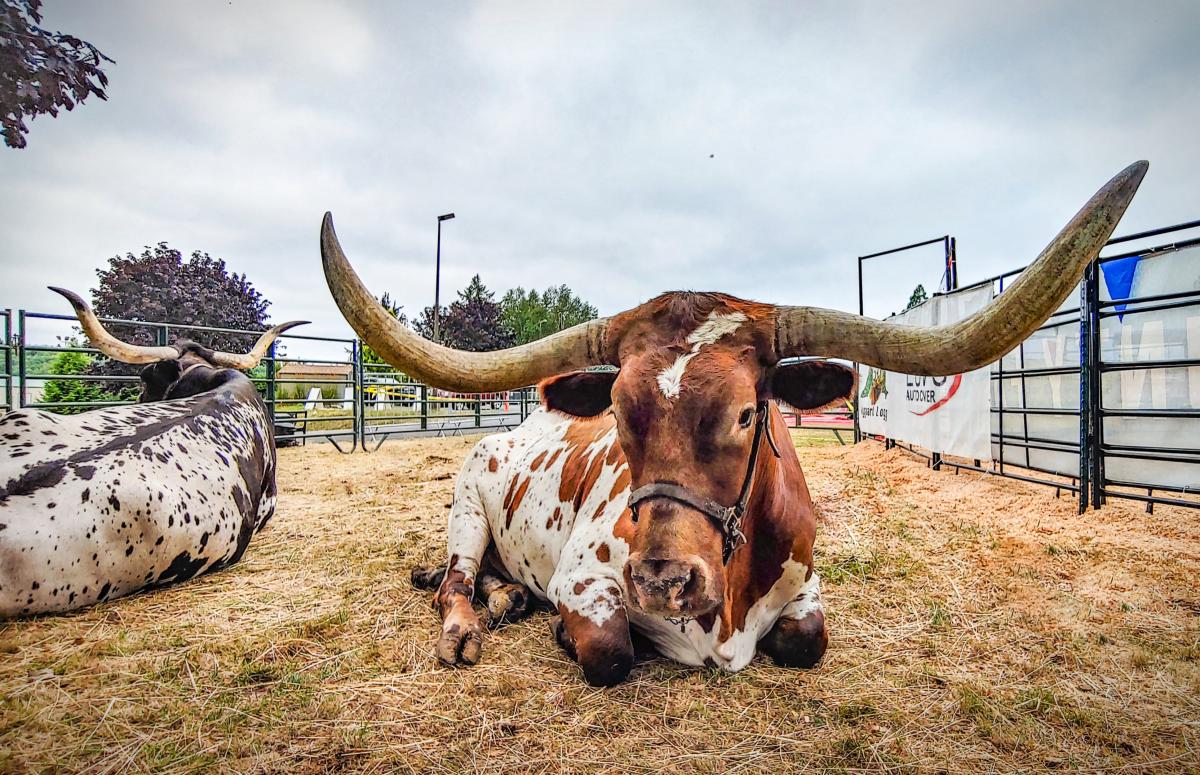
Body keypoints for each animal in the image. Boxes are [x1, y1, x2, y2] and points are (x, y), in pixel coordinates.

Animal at [324, 160, 1147, 681]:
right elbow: (611, 651)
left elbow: (809, 640)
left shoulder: (807, 589)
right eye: (618, 411)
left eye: (751, 413)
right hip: (465, 504)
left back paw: (508, 598)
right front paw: (569, 628)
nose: (661, 582)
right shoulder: (585, 578)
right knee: (452, 583)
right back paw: (472, 621)